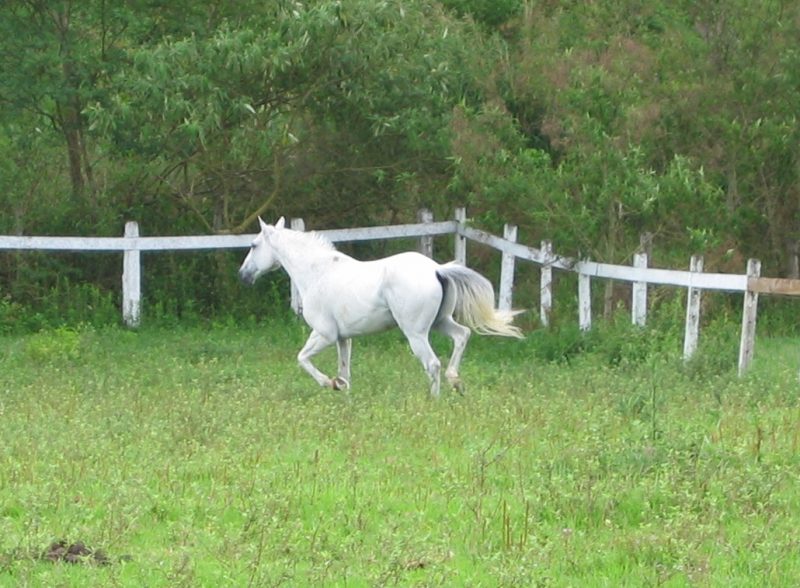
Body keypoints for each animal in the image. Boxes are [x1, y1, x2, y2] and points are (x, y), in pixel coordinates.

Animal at [238, 217, 523, 396]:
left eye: (253, 245)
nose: (243, 275)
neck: (317, 273)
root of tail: (437, 269)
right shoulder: (343, 338)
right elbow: (345, 372)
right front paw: (342, 391)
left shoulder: (324, 334)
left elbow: (302, 359)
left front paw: (329, 384)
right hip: (441, 322)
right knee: (462, 335)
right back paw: (456, 382)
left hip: (416, 333)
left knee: (433, 364)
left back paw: (434, 401)